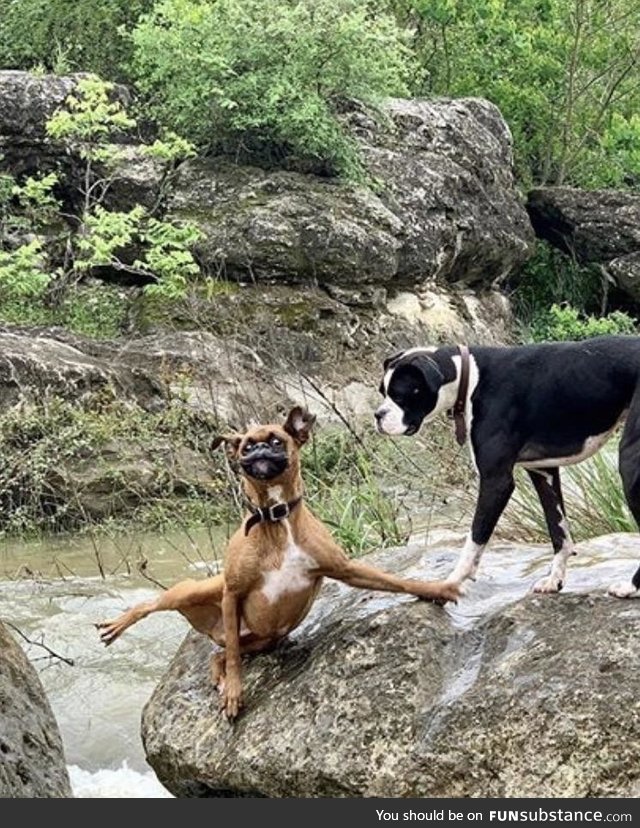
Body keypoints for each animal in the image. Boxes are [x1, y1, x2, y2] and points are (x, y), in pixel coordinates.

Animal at [96, 408, 460, 720]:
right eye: (245, 446)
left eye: (275, 441)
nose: (256, 450)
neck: (275, 517)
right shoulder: (232, 593)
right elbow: (234, 660)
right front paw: (235, 693)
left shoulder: (346, 569)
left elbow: (396, 581)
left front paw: (436, 589)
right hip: (196, 593)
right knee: (159, 608)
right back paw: (118, 626)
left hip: (260, 640)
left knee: (218, 654)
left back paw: (217, 677)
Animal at [372, 338, 640, 600]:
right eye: (383, 392)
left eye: (400, 395)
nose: (378, 415)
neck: (470, 378)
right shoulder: (544, 472)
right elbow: (558, 531)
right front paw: (554, 579)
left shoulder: (496, 481)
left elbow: (474, 539)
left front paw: (449, 584)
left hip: (629, 463)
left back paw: (631, 587)